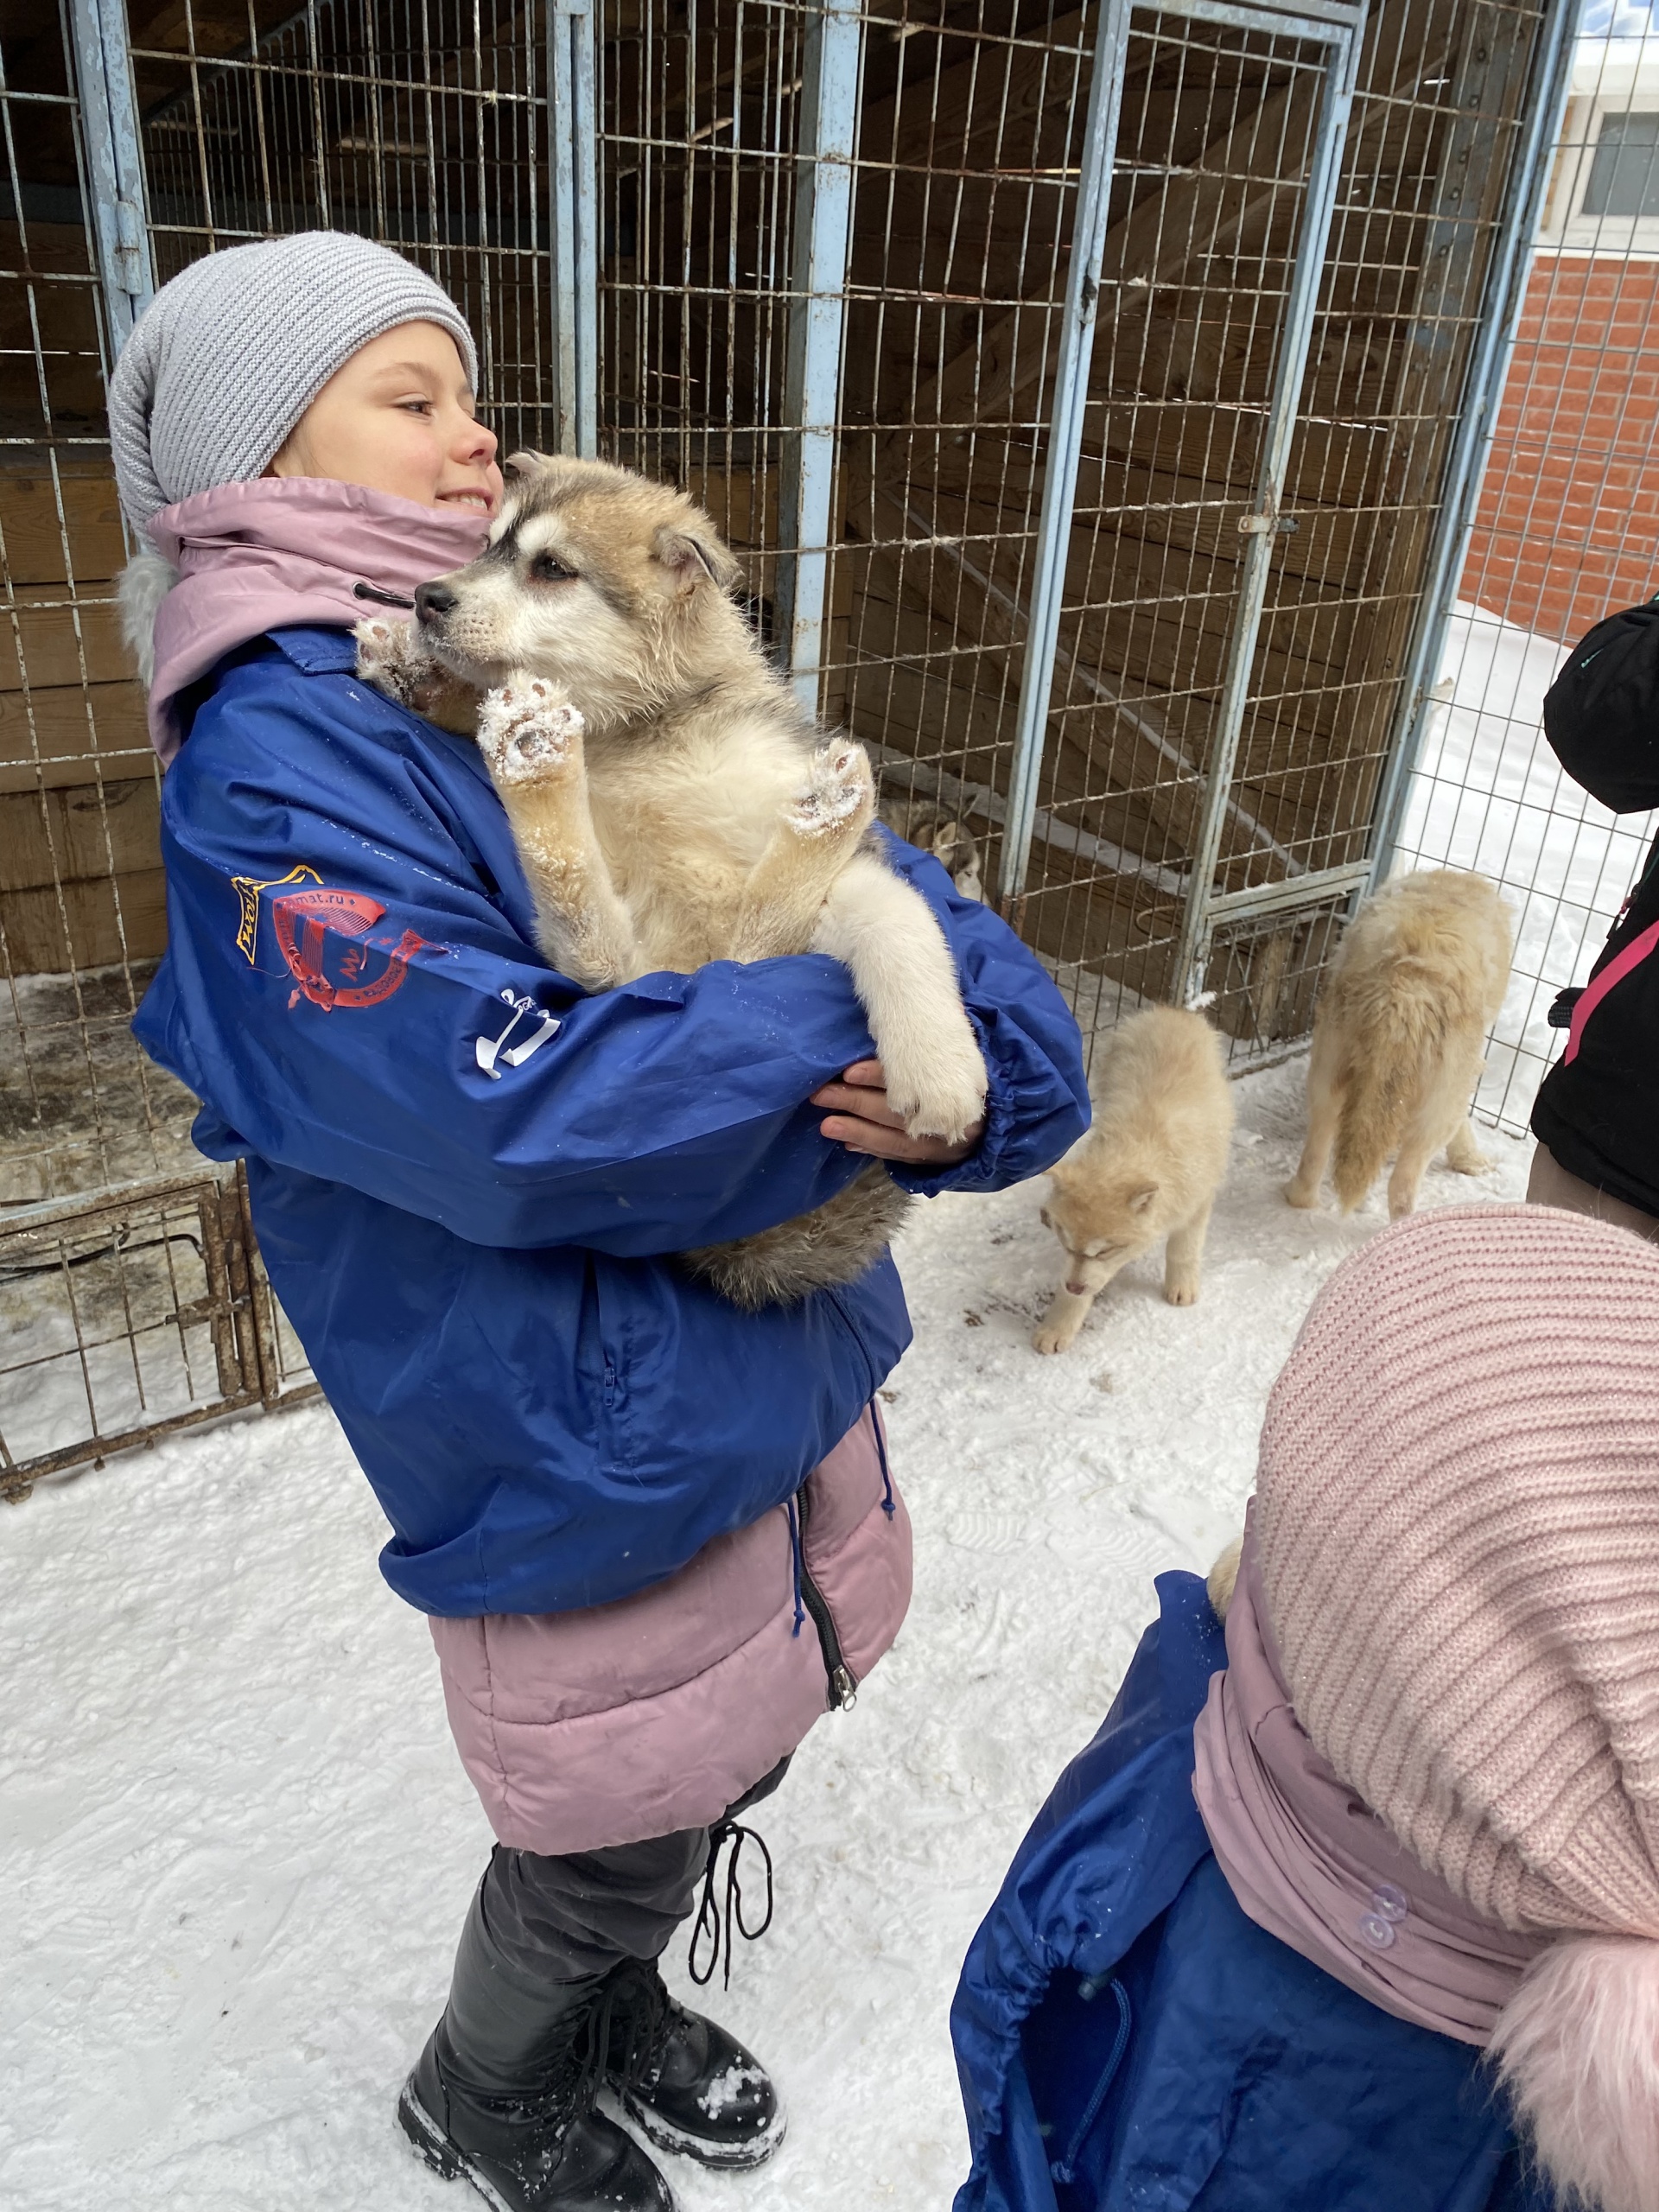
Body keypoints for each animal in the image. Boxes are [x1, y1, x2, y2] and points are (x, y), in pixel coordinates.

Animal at [358, 455, 986, 1300]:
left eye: (551, 569)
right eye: (487, 546)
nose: (427, 597)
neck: (638, 733)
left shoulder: (845, 870)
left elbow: (903, 924)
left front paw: (941, 1074)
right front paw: (423, 677)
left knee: (724, 936)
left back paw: (823, 811)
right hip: (628, 942)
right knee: (595, 926)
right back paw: (538, 755)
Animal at [1035, 1013, 1238, 1353]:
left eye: (1105, 1250)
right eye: (1066, 1242)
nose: (1074, 1286)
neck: (1139, 1147)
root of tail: (1174, 1011)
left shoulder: (1197, 1201)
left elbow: (1183, 1249)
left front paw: (1181, 1285)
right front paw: (1059, 1325)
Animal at [1282, 862, 1522, 1221]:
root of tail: (1404, 990)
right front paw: (1472, 1162)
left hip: (1328, 1067)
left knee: (1317, 1149)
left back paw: (1298, 1196)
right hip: (1437, 1108)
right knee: (1402, 1186)